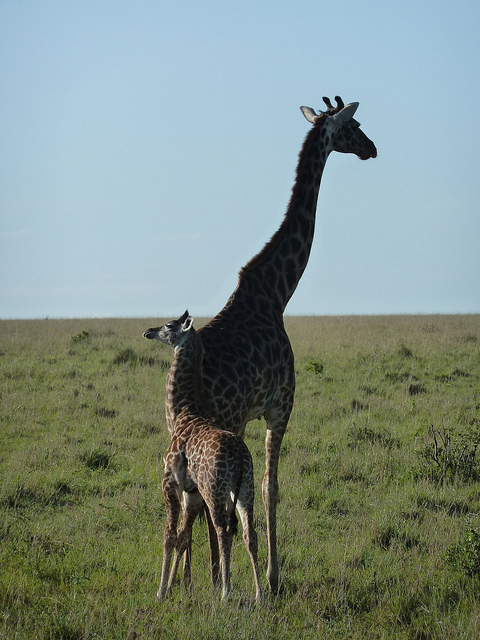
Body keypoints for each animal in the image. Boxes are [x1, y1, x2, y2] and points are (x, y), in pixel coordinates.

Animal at [143, 312, 263, 603]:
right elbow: (183, 536)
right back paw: (259, 594)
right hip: (246, 489)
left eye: (168, 325)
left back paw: (226, 593)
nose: (149, 331)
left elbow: (169, 535)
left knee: (224, 530)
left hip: (215, 490)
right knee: (249, 533)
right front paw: (173, 586)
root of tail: (240, 458)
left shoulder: (169, 482)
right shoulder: (193, 492)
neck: (182, 413)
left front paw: (161, 591)